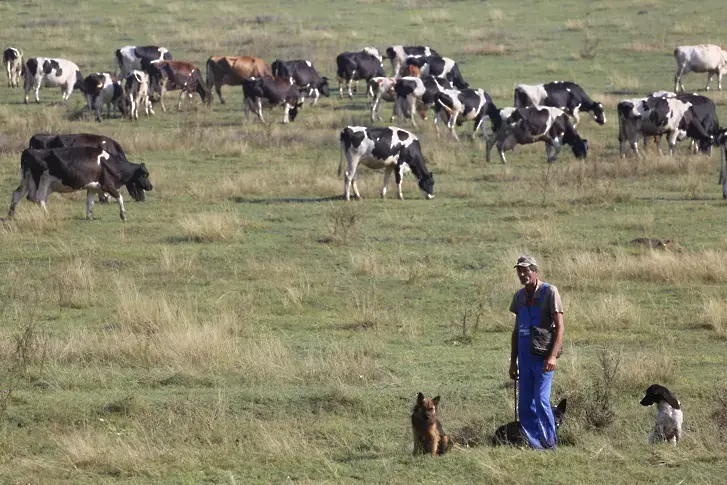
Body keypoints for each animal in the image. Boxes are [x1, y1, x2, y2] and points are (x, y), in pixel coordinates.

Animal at [9, 144, 153, 219]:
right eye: (145, 174)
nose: (151, 186)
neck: (109, 163)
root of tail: (30, 150)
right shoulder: (107, 185)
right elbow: (120, 197)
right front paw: (123, 215)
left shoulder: (93, 187)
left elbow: (90, 202)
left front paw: (89, 217)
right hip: (43, 181)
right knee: (40, 199)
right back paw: (47, 215)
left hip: (26, 181)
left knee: (17, 195)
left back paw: (11, 216)